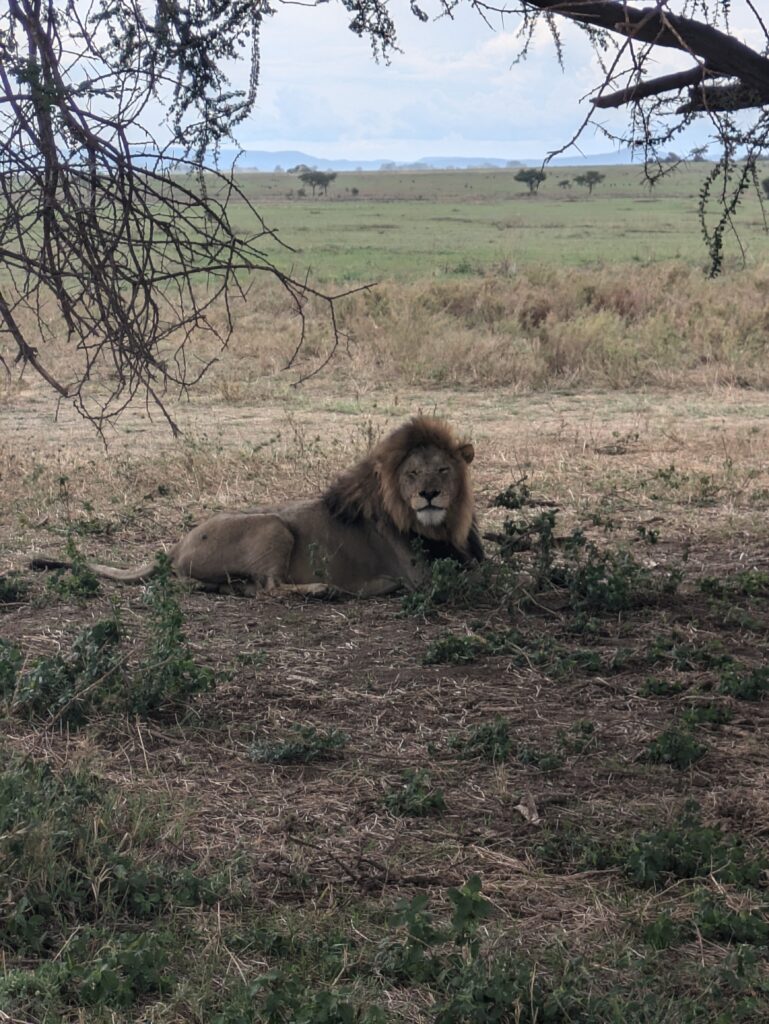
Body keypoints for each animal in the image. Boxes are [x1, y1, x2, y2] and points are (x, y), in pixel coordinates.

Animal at [31, 416, 483, 597]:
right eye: (412, 474)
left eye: (443, 470)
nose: (429, 494)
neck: (438, 526)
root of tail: (175, 545)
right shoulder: (421, 576)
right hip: (273, 526)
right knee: (269, 589)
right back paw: (323, 591)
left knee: (246, 588)